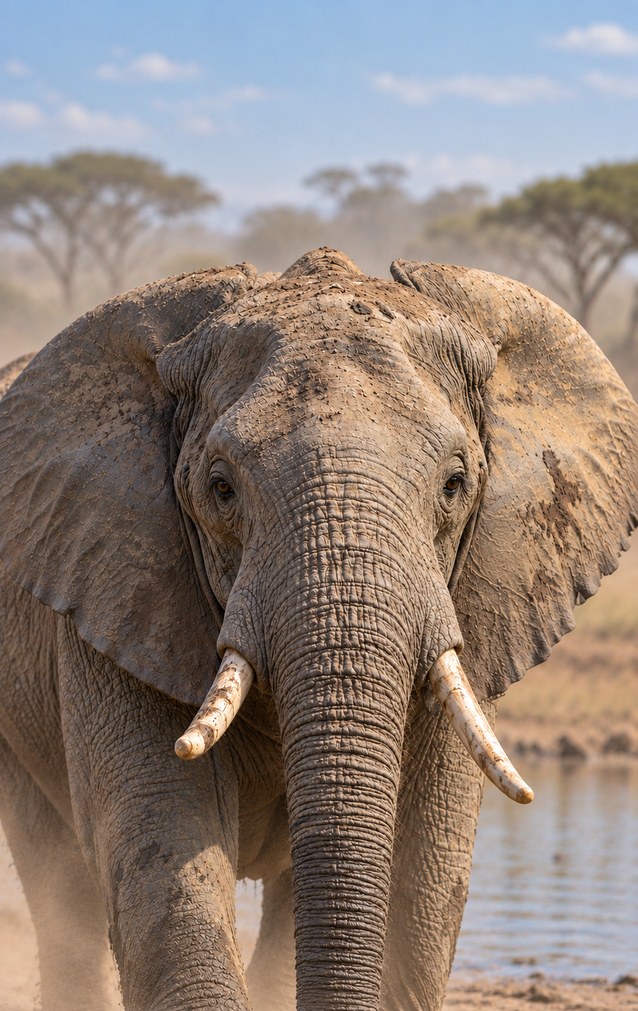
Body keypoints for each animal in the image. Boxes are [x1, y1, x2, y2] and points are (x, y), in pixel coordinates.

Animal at [0, 247, 636, 1011]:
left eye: (455, 484)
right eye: (221, 488)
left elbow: (422, 878)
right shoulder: (116, 580)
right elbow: (163, 858)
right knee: (60, 885)